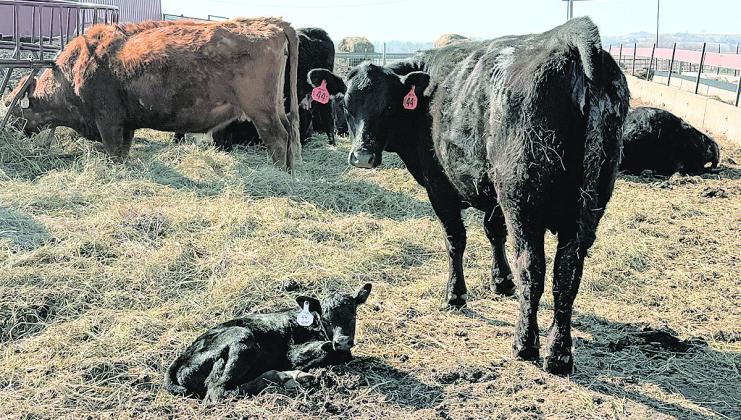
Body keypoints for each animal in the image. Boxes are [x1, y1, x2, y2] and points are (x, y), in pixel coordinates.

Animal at [4, 18, 301, 170]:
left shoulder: (108, 121)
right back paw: (289, 171)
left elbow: (113, 151)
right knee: (288, 133)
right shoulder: (126, 125)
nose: (8, 130)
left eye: (11, 105)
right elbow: (123, 150)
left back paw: (278, 172)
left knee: (277, 138)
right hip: (276, 106)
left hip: (260, 111)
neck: (77, 68)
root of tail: (272, 24)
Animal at [165, 284, 372, 402]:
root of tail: (181, 359)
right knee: (218, 392)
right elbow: (327, 351)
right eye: (326, 319)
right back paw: (288, 377)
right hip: (241, 337)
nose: (342, 341)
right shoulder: (292, 354)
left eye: (354, 316)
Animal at [308, 17, 629, 375]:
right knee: (567, 274)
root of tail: (572, 38)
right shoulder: (490, 191)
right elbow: (493, 232)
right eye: (345, 103)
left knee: (534, 267)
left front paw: (456, 295)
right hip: (588, 205)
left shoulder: (440, 187)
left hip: (523, 202)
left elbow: (455, 240)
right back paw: (559, 353)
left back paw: (525, 344)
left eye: (389, 105)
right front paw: (501, 282)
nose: (362, 156)